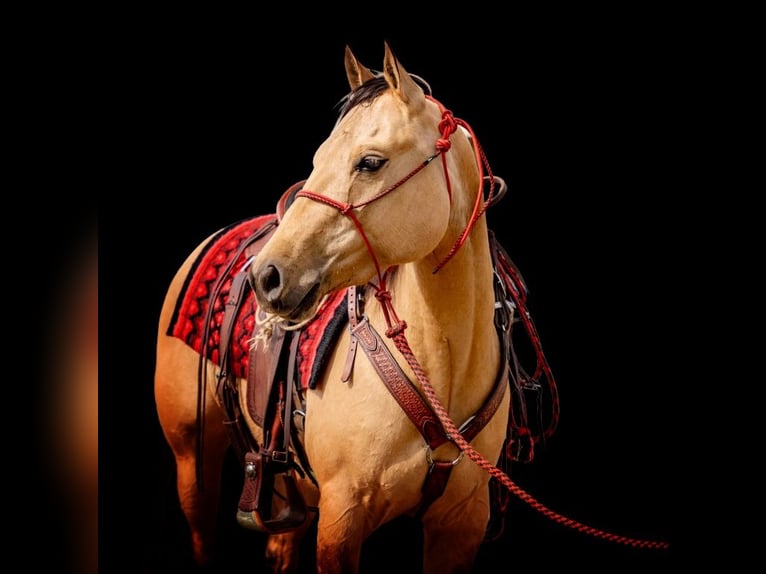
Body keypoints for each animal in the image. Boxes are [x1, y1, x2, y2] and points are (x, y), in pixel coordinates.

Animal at [155, 42, 520, 573]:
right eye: (319, 157)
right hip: (192, 462)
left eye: (369, 162)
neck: (442, 372)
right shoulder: (342, 519)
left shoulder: (460, 526)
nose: (266, 277)